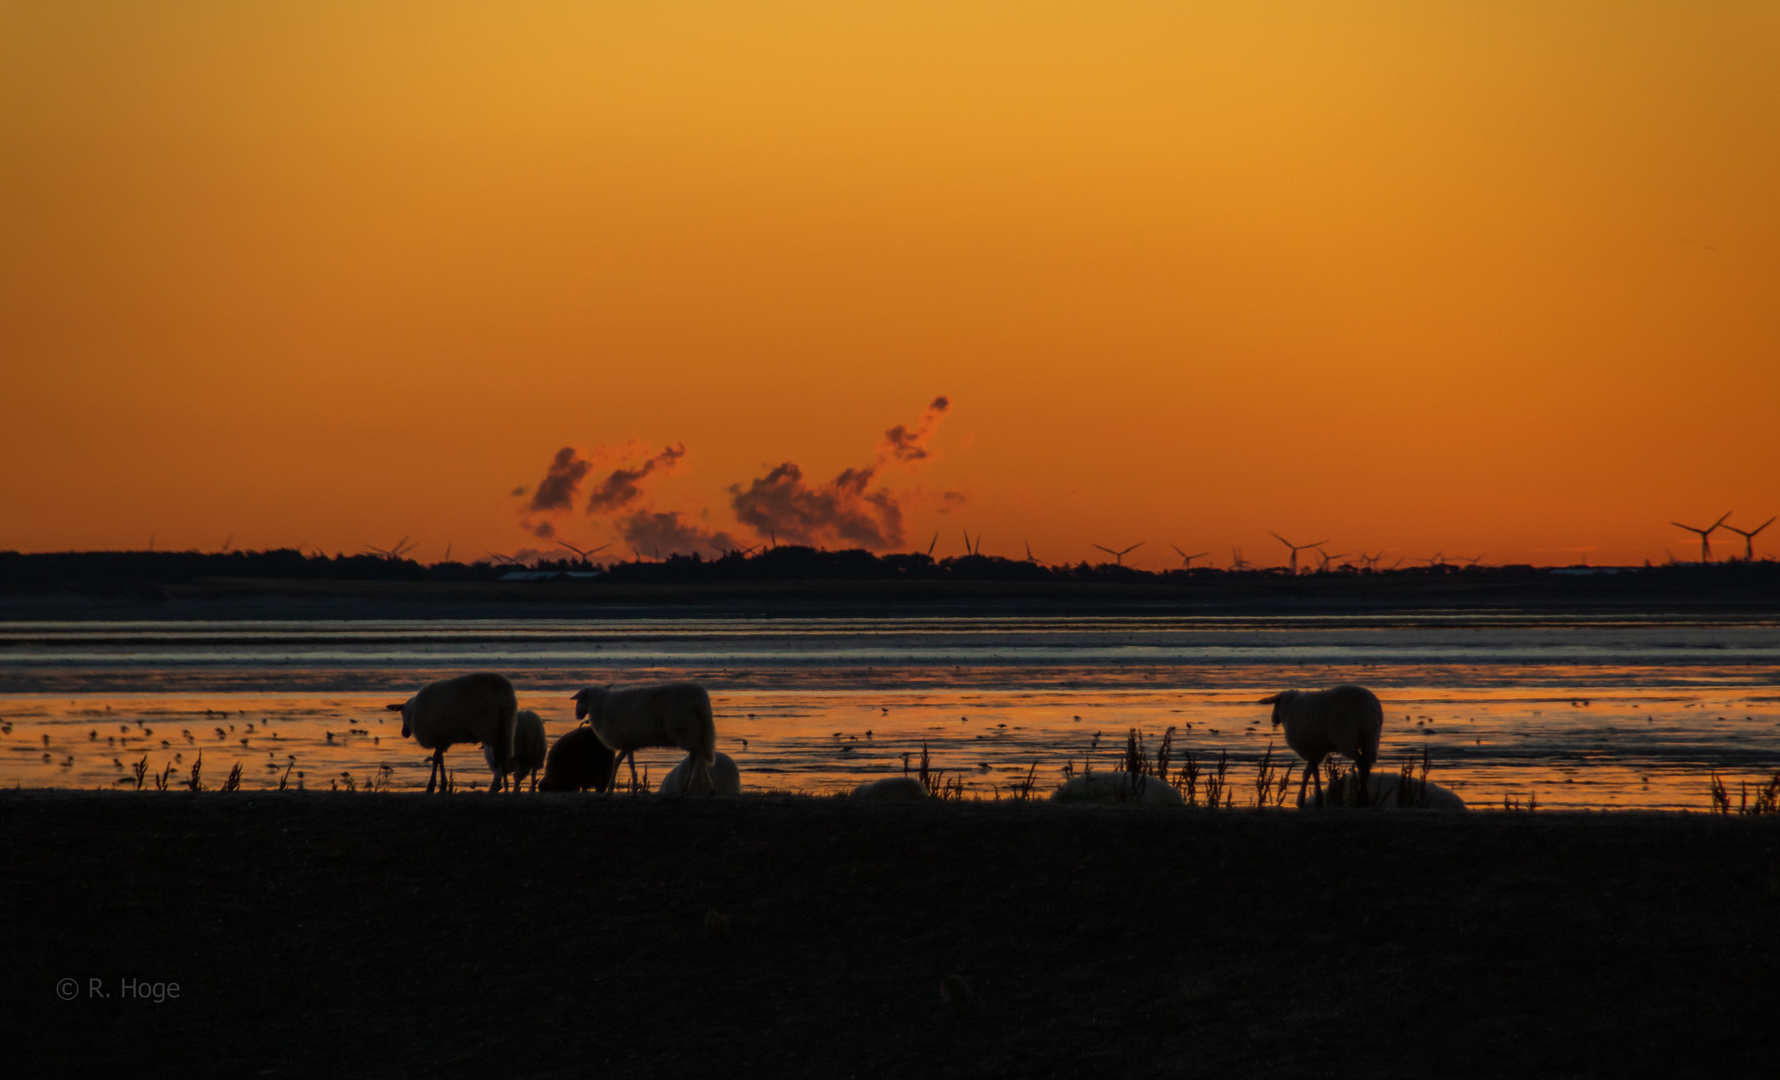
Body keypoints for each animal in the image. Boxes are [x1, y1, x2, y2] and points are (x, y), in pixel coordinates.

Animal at [380, 672, 512, 789]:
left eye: (402, 713)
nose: (404, 733)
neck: (412, 712)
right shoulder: (443, 739)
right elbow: (440, 759)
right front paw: (443, 782)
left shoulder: (437, 737)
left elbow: (436, 759)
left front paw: (433, 784)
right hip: (505, 728)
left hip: (491, 729)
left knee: (498, 757)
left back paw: (496, 784)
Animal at [566, 683, 712, 793]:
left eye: (580, 699)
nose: (577, 715)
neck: (601, 705)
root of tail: (700, 699)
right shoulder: (629, 743)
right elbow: (622, 763)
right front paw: (628, 788)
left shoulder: (625, 741)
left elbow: (623, 764)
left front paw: (620, 789)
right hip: (696, 733)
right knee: (699, 756)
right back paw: (700, 789)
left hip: (686, 731)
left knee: (698, 756)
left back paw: (695, 788)